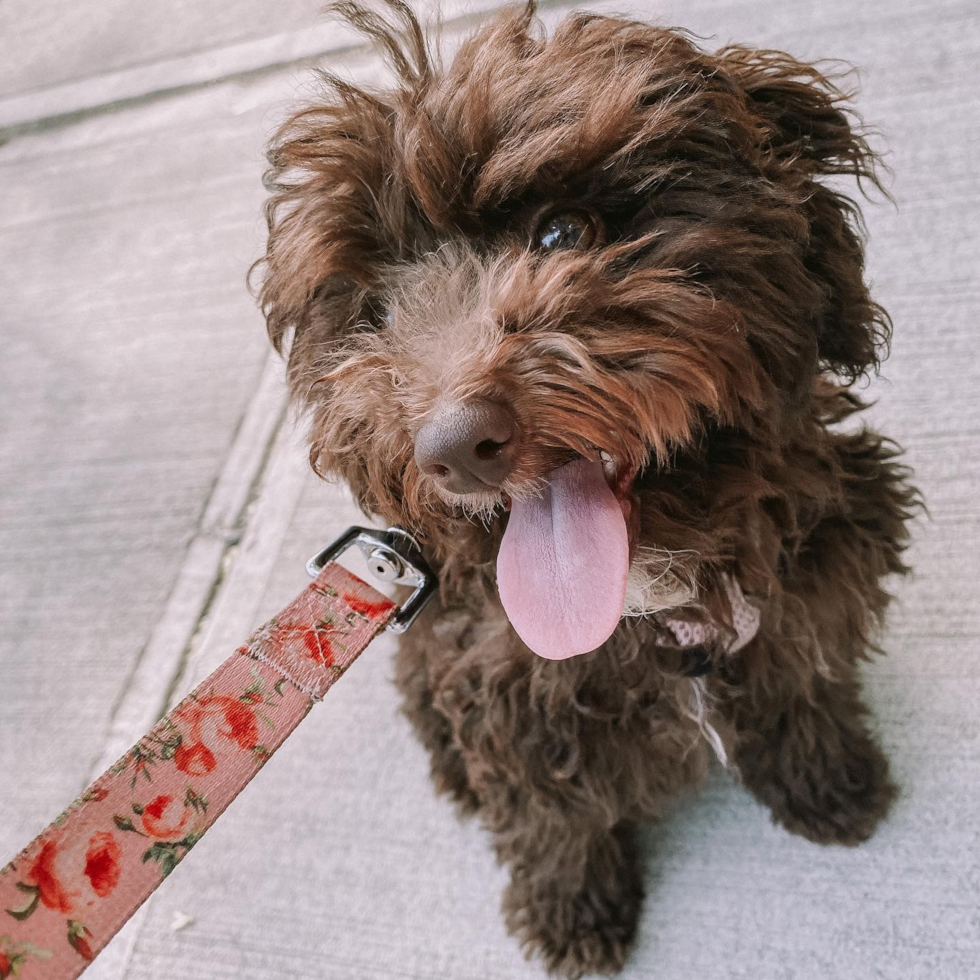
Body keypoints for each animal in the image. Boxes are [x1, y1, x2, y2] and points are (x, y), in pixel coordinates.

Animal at [255, 3, 920, 976]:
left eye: (562, 233)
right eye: (373, 312)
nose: (452, 448)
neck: (654, 605)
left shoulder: (813, 585)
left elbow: (803, 688)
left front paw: (830, 783)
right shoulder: (507, 698)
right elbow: (551, 819)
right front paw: (570, 912)